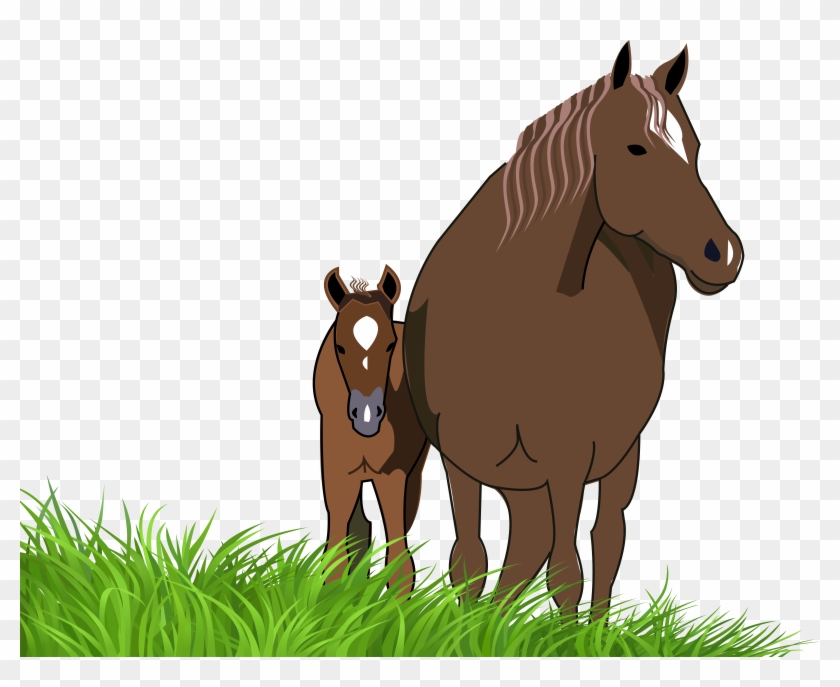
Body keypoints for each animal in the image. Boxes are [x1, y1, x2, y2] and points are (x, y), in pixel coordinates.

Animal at [313, 264, 431, 596]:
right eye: (340, 346)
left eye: (390, 345)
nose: (367, 415)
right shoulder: (337, 471)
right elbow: (336, 553)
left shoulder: (393, 474)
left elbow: (400, 559)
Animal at [402, 42, 744, 621]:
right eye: (636, 148)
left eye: (694, 147)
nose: (722, 253)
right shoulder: (457, 456)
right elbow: (470, 559)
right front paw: (473, 630)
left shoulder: (569, 458)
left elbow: (567, 573)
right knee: (530, 542)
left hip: (617, 454)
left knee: (605, 538)